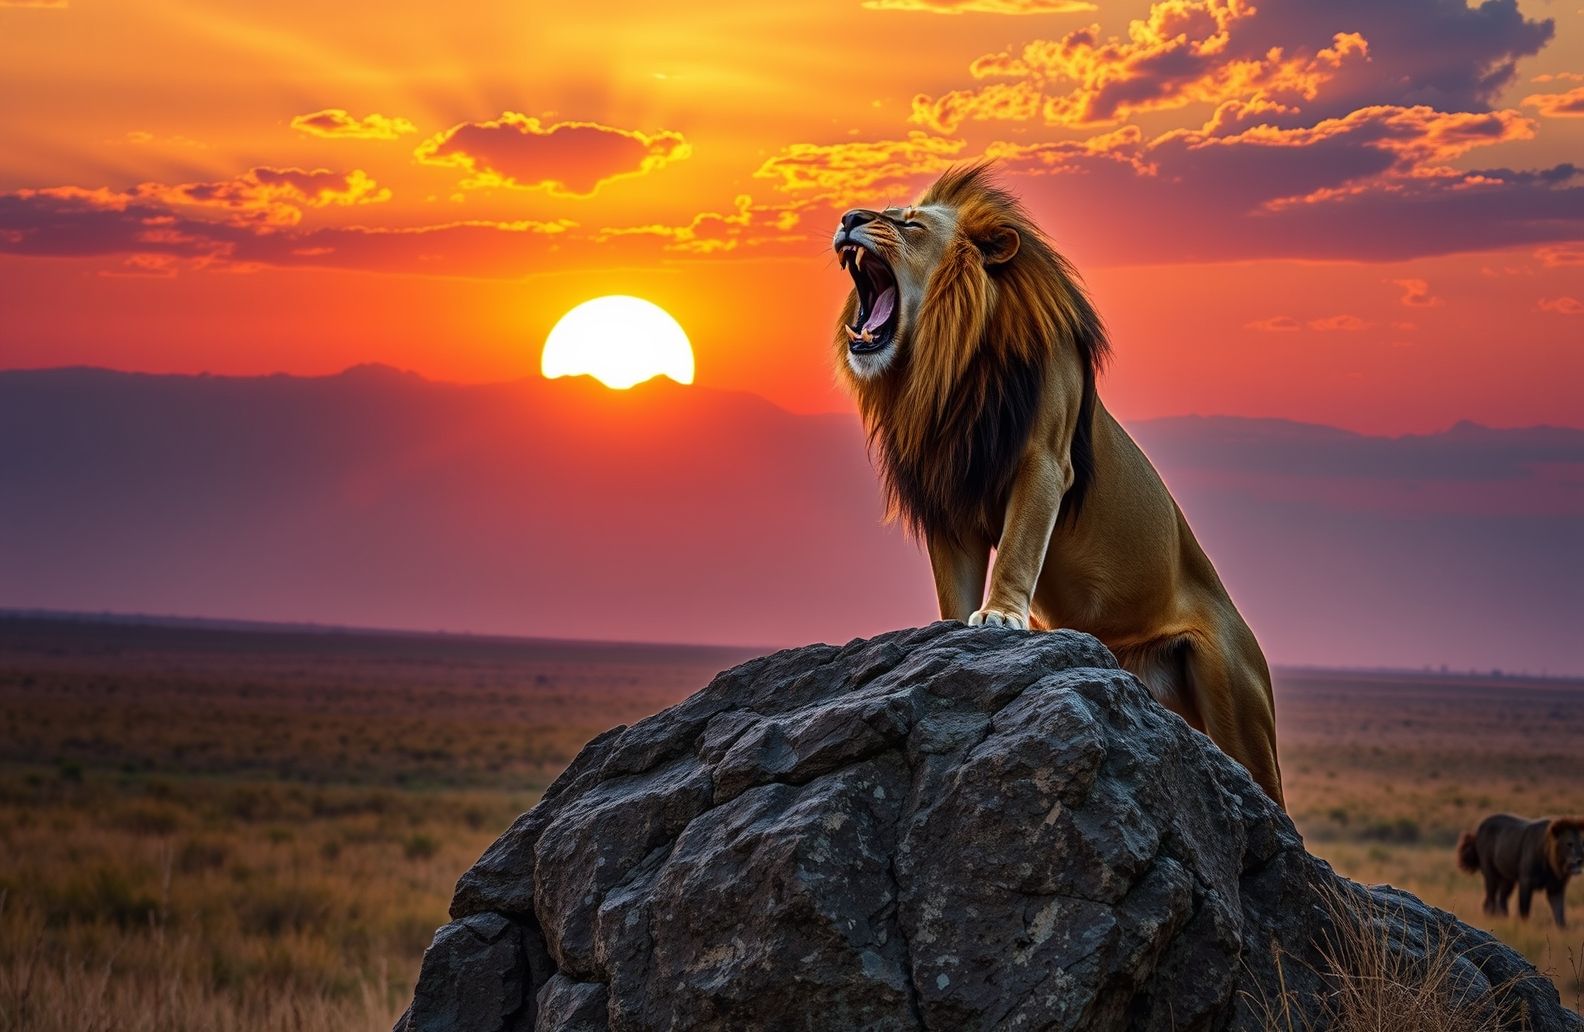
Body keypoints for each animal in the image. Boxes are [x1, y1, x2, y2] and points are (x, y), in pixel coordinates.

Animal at [830, 163, 1284, 807]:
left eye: (909, 224)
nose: (848, 218)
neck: (948, 365)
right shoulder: (947, 490)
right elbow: (953, 583)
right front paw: (948, 631)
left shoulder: (1044, 459)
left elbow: (1019, 547)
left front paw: (999, 617)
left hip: (1235, 697)